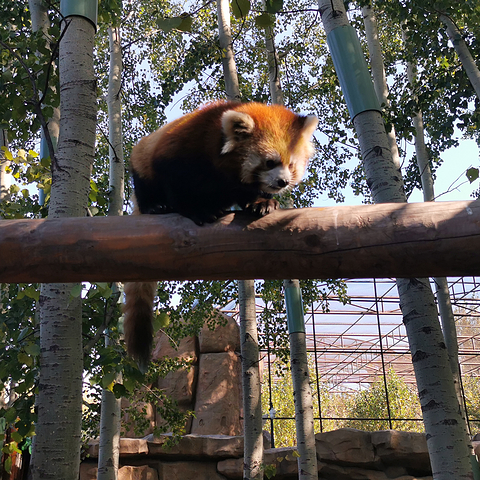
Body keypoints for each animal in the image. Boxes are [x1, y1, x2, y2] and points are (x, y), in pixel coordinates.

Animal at [124, 101, 318, 370]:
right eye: (270, 162)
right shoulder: (181, 150)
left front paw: (262, 203)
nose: (282, 182)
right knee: (145, 185)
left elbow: (247, 192)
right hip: (141, 159)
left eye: (291, 164)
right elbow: (176, 184)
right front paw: (196, 210)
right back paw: (156, 207)